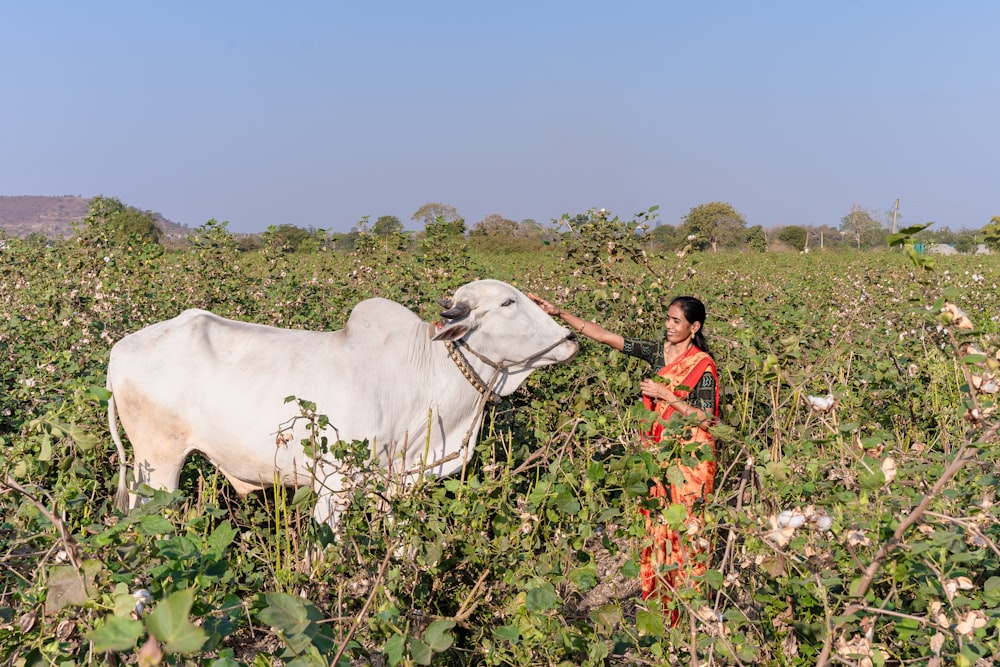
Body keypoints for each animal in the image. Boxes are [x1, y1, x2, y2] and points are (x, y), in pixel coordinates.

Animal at [107, 280, 580, 528]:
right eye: (508, 302)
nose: (572, 338)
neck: (424, 374)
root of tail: (117, 353)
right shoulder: (334, 484)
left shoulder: (398, 483)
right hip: (158, 466)